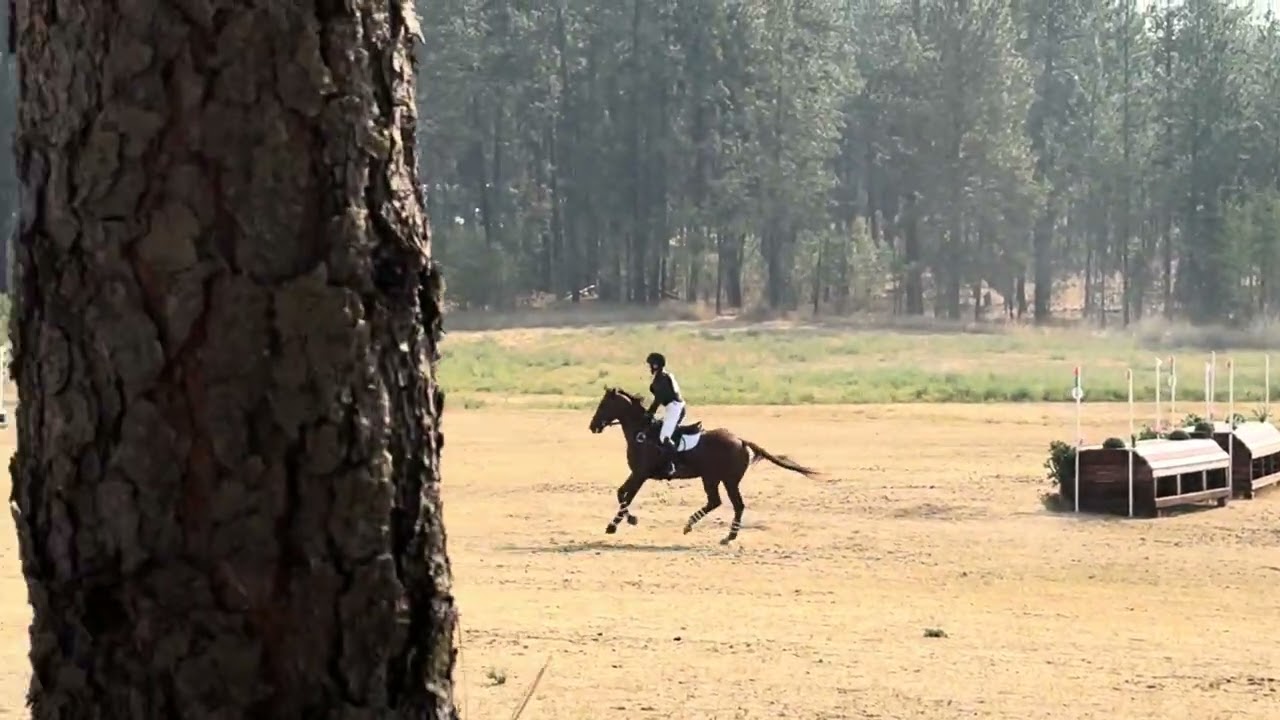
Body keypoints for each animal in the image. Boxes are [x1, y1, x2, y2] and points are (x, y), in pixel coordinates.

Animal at [587, 386, 821, 544]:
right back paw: (693, 525)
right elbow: (622, 494)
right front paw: (619, 523)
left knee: (735, 505)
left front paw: (623, 522)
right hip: (712, 478)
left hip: (726, 480)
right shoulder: (637, 473)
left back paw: (727, 536)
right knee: (716, 502)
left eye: (604, 405)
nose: (593, 426)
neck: (641, 433)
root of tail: (740, 440)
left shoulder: (640, 474)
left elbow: (624, 496)